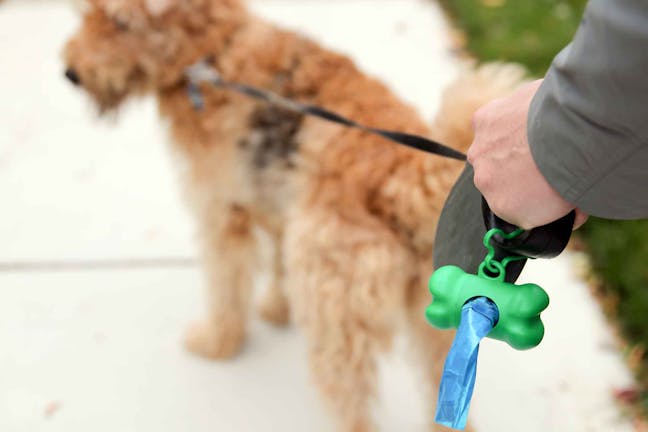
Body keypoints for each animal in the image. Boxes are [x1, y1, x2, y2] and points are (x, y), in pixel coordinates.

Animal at [63, 1, 524, 430]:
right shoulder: (280, 209)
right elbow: (277, 267)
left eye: (120, 22)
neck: (214, 50)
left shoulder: (222, 213)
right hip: (437, 320)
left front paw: (217, 343)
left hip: (335, 323)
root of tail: (404, 175)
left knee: (352, 411)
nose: (70, 73)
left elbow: (226, 289)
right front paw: (275, 310)